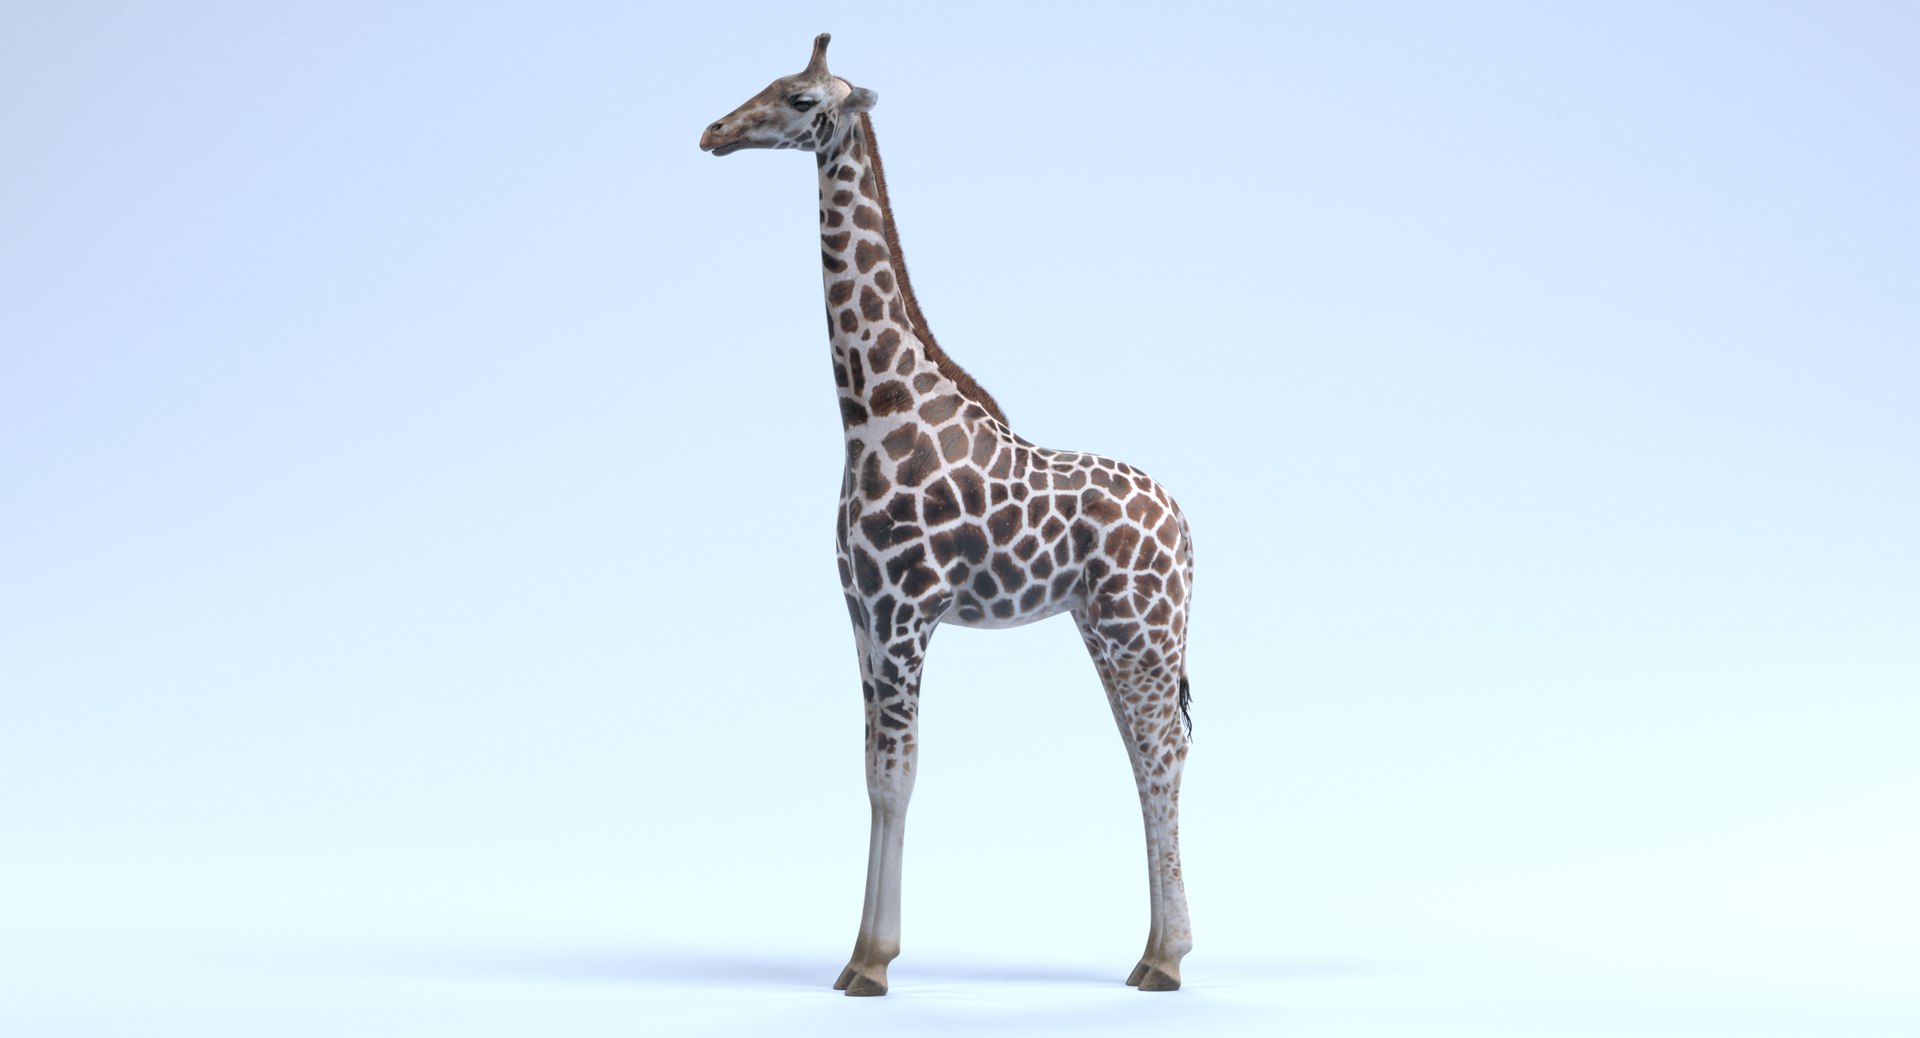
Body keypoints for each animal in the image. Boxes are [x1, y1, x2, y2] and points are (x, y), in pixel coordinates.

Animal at [699, 34, 1195, 996]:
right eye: (771, 81)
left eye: (799, 97)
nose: (712, 133)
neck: (875, 410)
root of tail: (1188, 527)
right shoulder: (860, 615)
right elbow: (872, 773)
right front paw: (862, 953)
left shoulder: (903, 615)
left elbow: (898, 778)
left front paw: (871, 963)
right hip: (1108, 628)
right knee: (1147, 753)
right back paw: (1155, 952)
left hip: (1144, 629)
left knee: (1162, 756)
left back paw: (1165, 961)